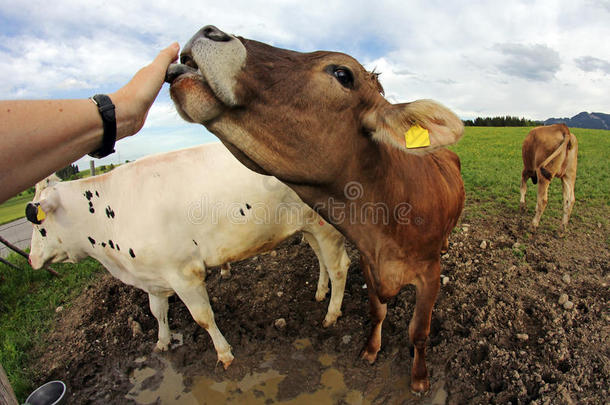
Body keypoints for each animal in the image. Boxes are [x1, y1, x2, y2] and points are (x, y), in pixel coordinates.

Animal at [27, 142, 352, 366]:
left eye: (39, 226)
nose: (31, 259)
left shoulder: (185, 273)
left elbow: (203, 317)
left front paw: (224, 353)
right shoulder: (153, 275)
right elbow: (157, 311)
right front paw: (162, 343)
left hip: (328, 226)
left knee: (339, 266)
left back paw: (331, 314)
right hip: (308, 226)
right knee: (321, 259)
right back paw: (320, 293)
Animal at [164, 25, 464, 392]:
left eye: (342, 73)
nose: (210, 31)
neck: (389, 222)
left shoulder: (430, 274)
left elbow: (419, 332)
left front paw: (419, 378)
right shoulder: (369, 264)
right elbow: (377, 313)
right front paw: (370, 350)